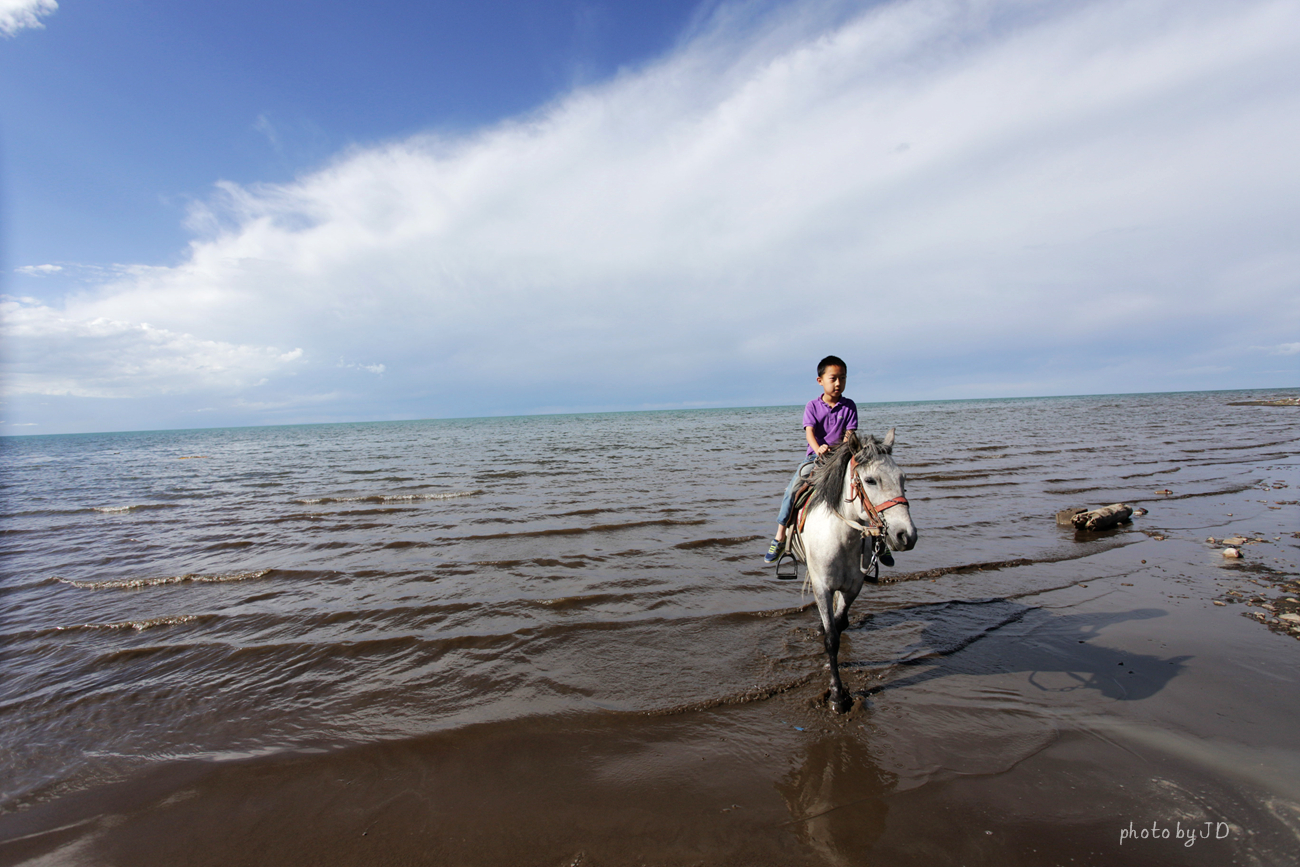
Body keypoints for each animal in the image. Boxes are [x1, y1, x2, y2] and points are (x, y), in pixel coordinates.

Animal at [780, 431, 915, 717]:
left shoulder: (854, 587)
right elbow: (831, 639)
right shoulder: (822, 586)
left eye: (902, 478)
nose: (906, 535)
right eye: (871, 480)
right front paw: (837, 696)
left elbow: (840, 624)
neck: (842, 538)